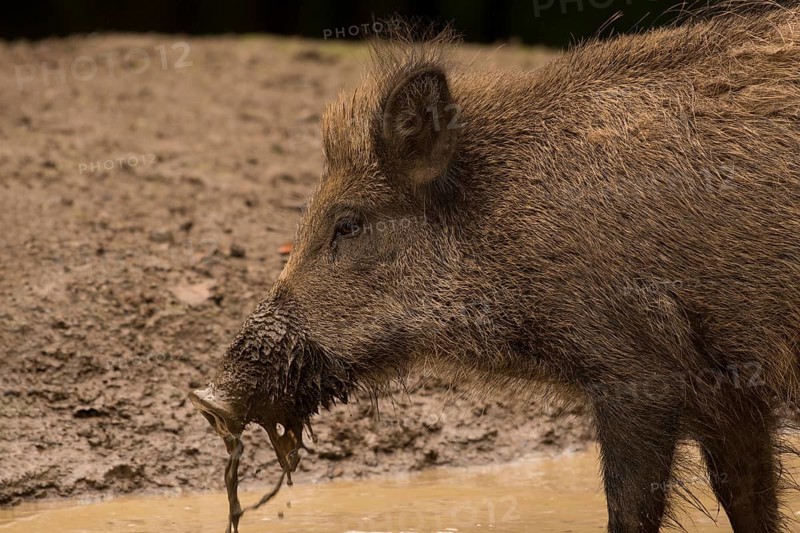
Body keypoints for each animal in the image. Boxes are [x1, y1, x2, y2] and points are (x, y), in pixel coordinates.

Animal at [190, 4, 800, 532]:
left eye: (348, 224)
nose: (209, 399)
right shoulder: (730, 394)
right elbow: (749, 501)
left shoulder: (640, 373)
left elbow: (632, 510)